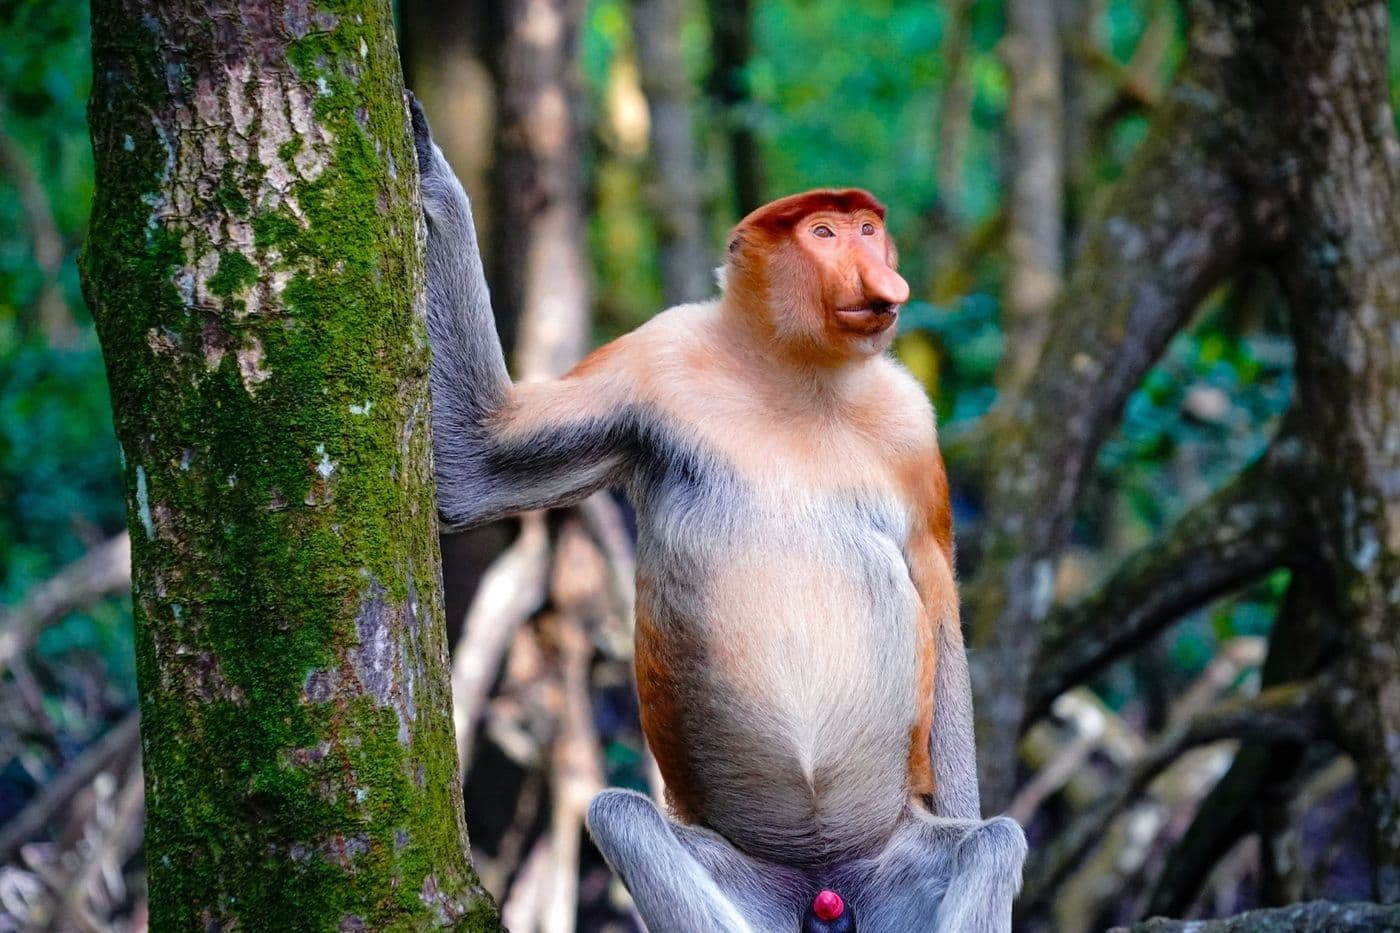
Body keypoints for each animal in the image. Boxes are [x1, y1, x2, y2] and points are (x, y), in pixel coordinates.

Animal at [410, 97, 1027, 933]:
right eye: (823, 233)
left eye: (868, 228)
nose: (883, 277)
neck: (797, 376)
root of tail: (824, 886)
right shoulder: (657, 357)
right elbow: (476, 467)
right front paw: (425, 166)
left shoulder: (912, 425)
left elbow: (937, 602)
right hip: (741, 871)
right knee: (621, 814)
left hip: (899, 859)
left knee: (992, 842)